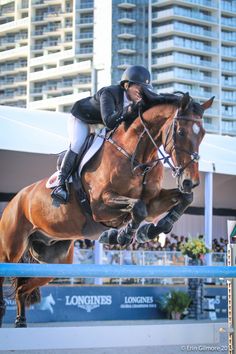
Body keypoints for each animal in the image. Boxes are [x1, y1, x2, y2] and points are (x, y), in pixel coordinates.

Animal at [0, 89, 214, 326]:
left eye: (203, 134)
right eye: (180, 131)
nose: (190, 181)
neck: (137, 156)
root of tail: (16, 199)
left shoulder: (154, 202)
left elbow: (182, 200)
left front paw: (150, 230)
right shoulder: (100, 205)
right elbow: (137, 208)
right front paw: (123, 235)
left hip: (52, 261)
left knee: (22, 287)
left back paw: (20, 320)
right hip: (11, 249)